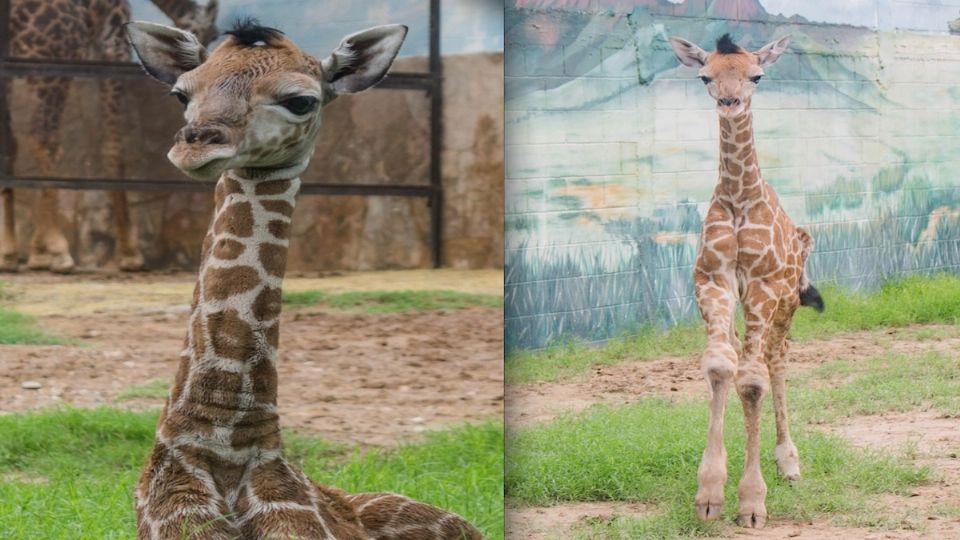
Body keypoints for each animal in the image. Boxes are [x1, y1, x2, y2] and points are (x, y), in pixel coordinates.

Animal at [0, 0, 218, 272]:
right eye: (207, 34)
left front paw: (37, 251)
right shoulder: (111, 44)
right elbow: (113, 146)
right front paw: (128, 253)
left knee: (13, 141)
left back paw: (10, 251)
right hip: (50, 62)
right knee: (43, 138)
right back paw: (58, 248)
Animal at [668, 33, 824, 528]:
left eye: (757, 75)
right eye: (705, 76)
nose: (729, 102)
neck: (739, 199)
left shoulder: (762, 286)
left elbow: (754, 381)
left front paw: (753, 502)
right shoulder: (712, 281)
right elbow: (721, 367)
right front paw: (710, 495)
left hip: (786, 304)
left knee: (775, 362)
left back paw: (789, 462)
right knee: (742, 360)